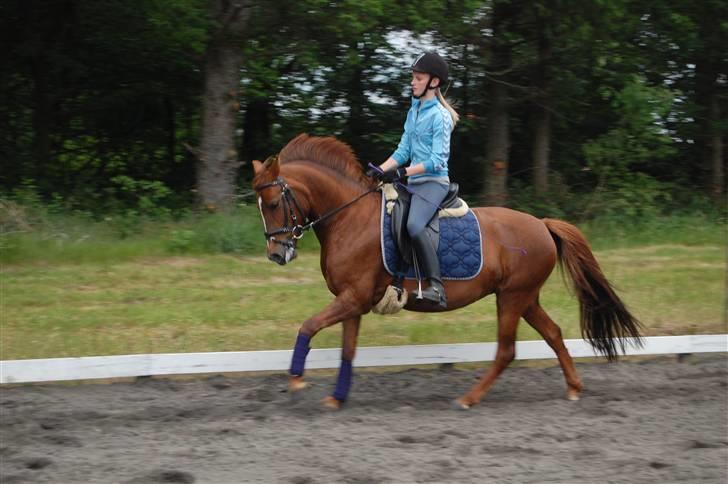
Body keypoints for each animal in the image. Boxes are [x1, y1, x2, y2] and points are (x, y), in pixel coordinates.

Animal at [252, 134, 644, 410]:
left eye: (272, 204)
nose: (277, 254)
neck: (349, 218)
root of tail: (543, 225)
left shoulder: (354, 298)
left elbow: (308, 326)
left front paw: (296, 380)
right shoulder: (353, 302)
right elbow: (347, 351)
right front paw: (336, 398)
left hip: (513, 297)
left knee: (507, 350)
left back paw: (469, 398)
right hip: (524, 297)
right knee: (553, 333)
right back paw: (574, 388)